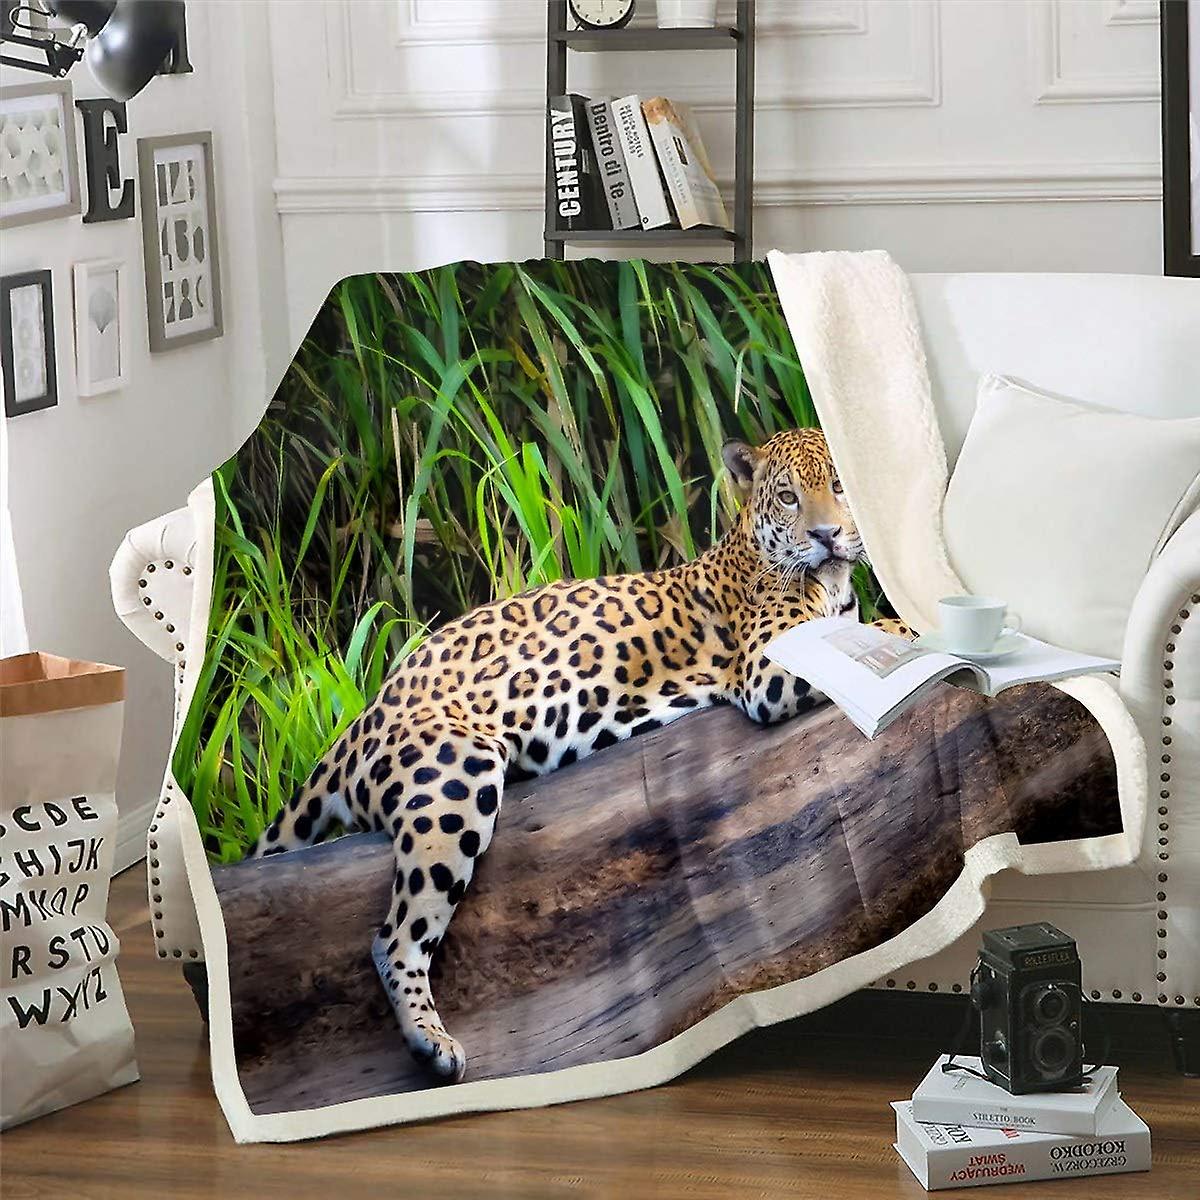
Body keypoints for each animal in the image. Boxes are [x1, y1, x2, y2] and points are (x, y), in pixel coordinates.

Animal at [250, 427, 911, 1082]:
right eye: (789, 497)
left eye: (839, 486)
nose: (826, 536)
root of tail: (362, 719)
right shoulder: (769, 670)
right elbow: (885, 635)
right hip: (453, 777)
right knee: (394, 939)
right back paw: (431, 1043)